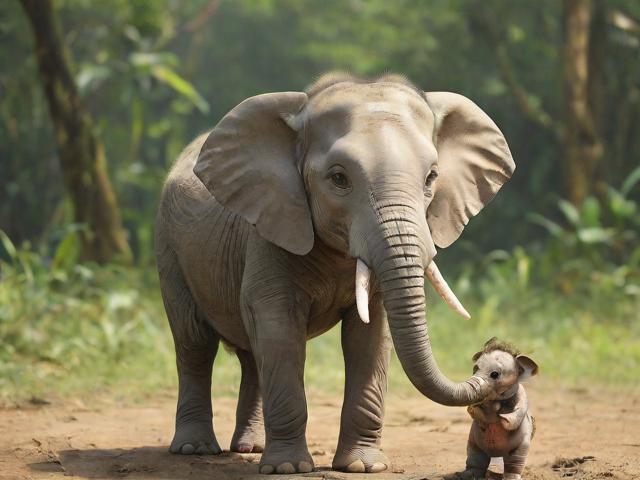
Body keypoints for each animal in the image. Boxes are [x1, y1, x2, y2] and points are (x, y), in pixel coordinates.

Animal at [155, 73, 516, 474]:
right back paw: (194, 449)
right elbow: (278, 329)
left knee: (251, 357)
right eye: (339, 178)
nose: (491, 372)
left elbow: (371, 337)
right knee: (195, 344)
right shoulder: (270, 228)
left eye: (431, 177)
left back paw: (250, 447)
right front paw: (287, 469)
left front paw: (364, 467)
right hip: (169, 248)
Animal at [462, 338, 536, 480]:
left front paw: (502, 417)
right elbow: (476, 412)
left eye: (495, 374)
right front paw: (474, 410)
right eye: (475, 369)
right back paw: (468, 475)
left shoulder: (521, 394)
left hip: (520, 447)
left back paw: (511, 476)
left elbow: (519, 411)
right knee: (476, 456)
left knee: (515, 461)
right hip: (474, 442)